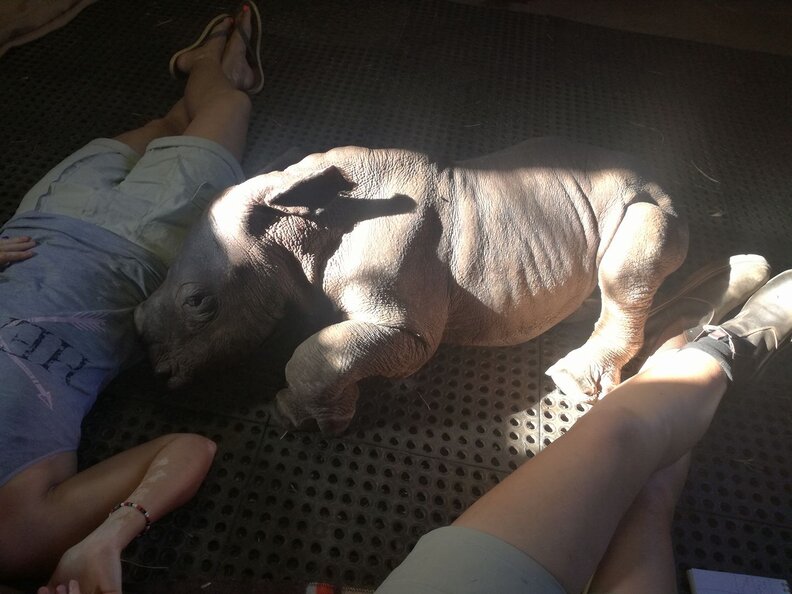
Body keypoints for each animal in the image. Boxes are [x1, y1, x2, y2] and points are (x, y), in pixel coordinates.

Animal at [135, 137, 688, 434]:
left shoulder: (402, 327)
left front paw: (301, 418)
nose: (158, 375)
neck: (302, 226)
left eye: (200, 303)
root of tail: (659, 178)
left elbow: (315, 357)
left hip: (646, 203)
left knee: (629, 268)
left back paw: (575, 379)